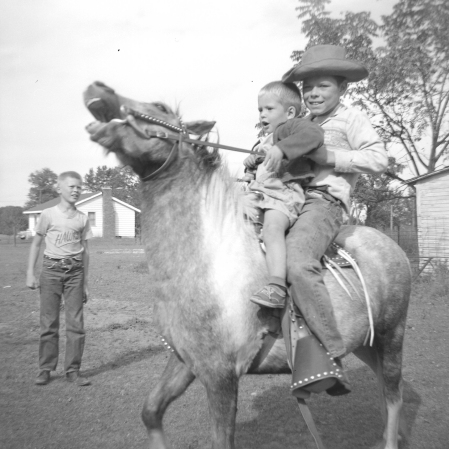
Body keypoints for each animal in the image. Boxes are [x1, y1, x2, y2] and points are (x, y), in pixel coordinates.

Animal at [83, 81, 410, 448]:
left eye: (161, 107)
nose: (98, 87)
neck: (210, 264)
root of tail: (390, 245)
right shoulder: (185, 359)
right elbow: (151, 410)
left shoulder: (220, 375)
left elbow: (220, 439)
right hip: (366, 342)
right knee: (385, 387)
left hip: (391, 335)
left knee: (393, 394)